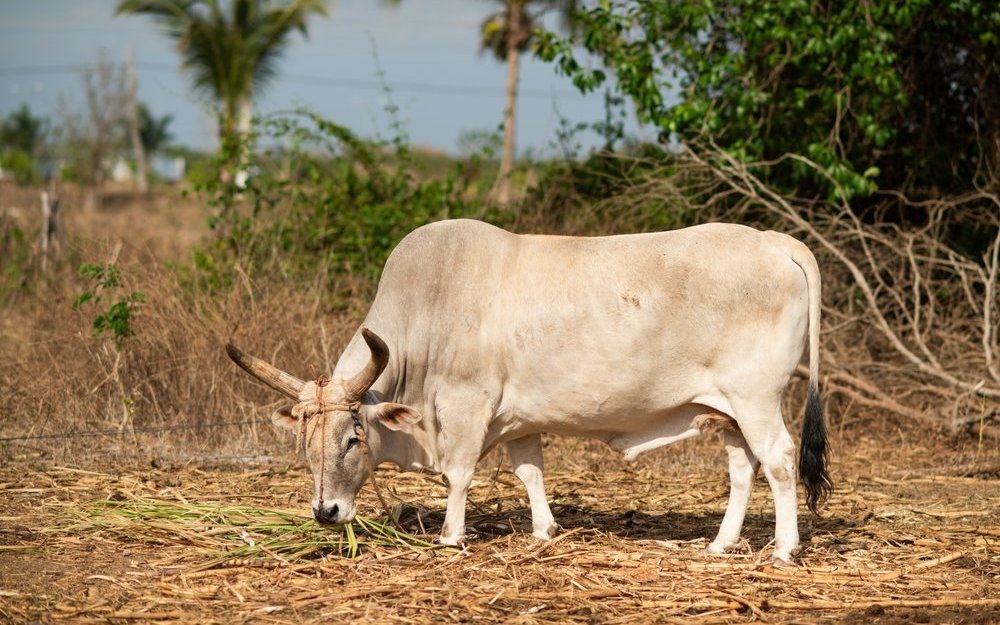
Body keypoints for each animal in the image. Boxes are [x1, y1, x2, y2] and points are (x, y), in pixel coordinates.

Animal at [227, 217, 828, 564]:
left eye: (353, 437)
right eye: (305, 444)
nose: (325, 512)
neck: (427, 313)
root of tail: (776, 242)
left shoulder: (466, 407)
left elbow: (460, 474)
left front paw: (451, 536)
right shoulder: (519, 421)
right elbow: (530, 472)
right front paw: (544, 530)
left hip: (755, 400)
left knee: (778, 461)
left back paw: (783, 549)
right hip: (725, 412)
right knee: (743, 469)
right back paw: (721, 544)